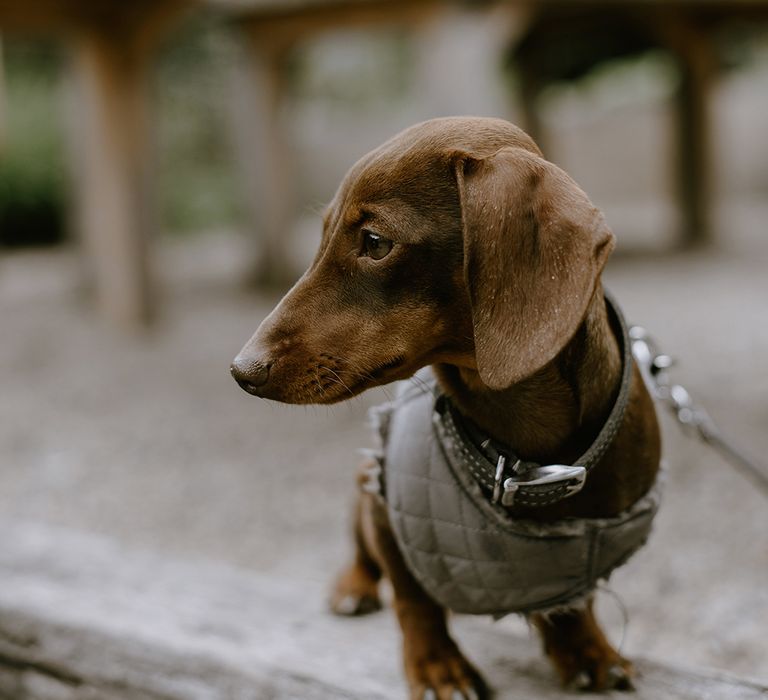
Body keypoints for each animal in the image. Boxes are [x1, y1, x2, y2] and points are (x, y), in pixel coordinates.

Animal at [231, 117, 664, 696]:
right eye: (322, 235)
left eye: (375, 242)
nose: (242, 370)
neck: (520, 457)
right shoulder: (384, 507)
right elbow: (413, 600)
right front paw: (439, 668)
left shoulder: (583, 548)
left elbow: (575, 599)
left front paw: (588, 650)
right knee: (361, 554)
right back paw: (352, 586)